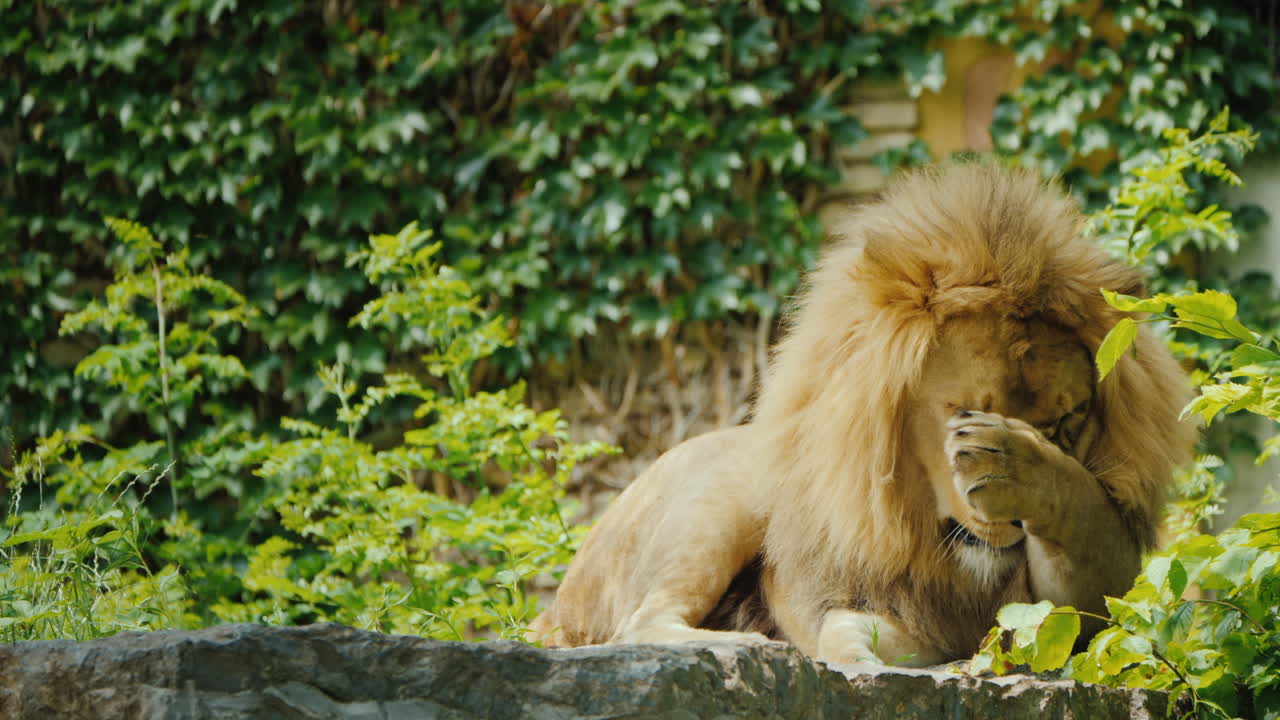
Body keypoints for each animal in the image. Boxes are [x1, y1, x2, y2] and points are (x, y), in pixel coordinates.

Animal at [530, 161, 1196, 666]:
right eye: (961, 412)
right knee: (639, 623)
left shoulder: (1076, 604)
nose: (1008, 525)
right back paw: (745, 642)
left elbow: (1074, 511)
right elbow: (840, 629)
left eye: (1066, 423)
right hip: (723, 497)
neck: (939, 546)